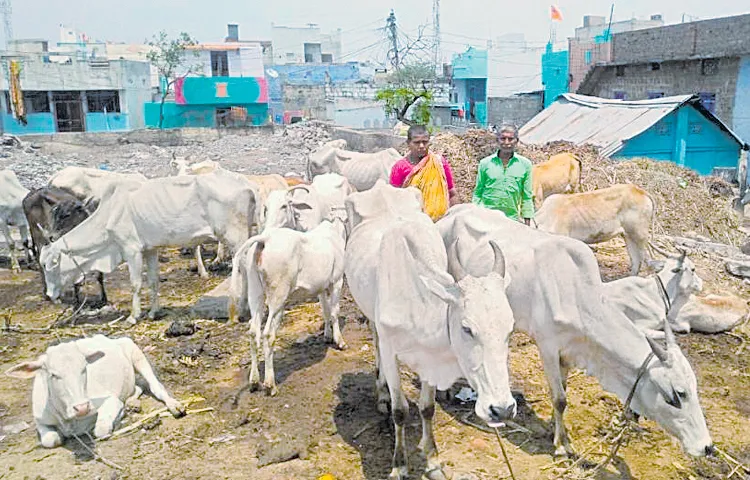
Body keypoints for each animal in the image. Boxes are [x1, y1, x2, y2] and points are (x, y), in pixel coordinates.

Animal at [5, 336, 184, 448]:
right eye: (53, 375)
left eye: (84, 369)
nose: (82, 407)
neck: (69, 419)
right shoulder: (39, 420)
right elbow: (51, 440)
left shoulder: (111, 400)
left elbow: (101, 429)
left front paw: (118, 418)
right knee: (137, 387)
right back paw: (132, 403)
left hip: (135, 352)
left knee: (155, 386)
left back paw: (174, 406)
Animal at [40, 171, 258, 324]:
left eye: (49, 265)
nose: (49, 295)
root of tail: (247, 184)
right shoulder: (150, 249)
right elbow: (153, 280)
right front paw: (154, 312)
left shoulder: (131, 249)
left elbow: (135, 284)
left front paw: (133, 316)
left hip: (235, 239)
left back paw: (243, 309)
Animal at [346, 181, 516, 480]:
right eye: (467, 328)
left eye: (509, 329)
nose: (502, 409)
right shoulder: (391, 351)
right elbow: (400, 411)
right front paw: (399, 465)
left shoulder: (430, 360)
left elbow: (427, 408)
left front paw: (433, 461)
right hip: (372, 319)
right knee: (376, 345)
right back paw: (381, 395)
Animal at [440, 202, 716, 458]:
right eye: (676, 396)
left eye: (694, 389)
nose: (707, 447)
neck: (575, 292)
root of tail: (454, 211)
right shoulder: (548, 347)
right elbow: (560, 398)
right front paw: (562, 446)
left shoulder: (569, 351)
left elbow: (563, 393)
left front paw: (555, 430)